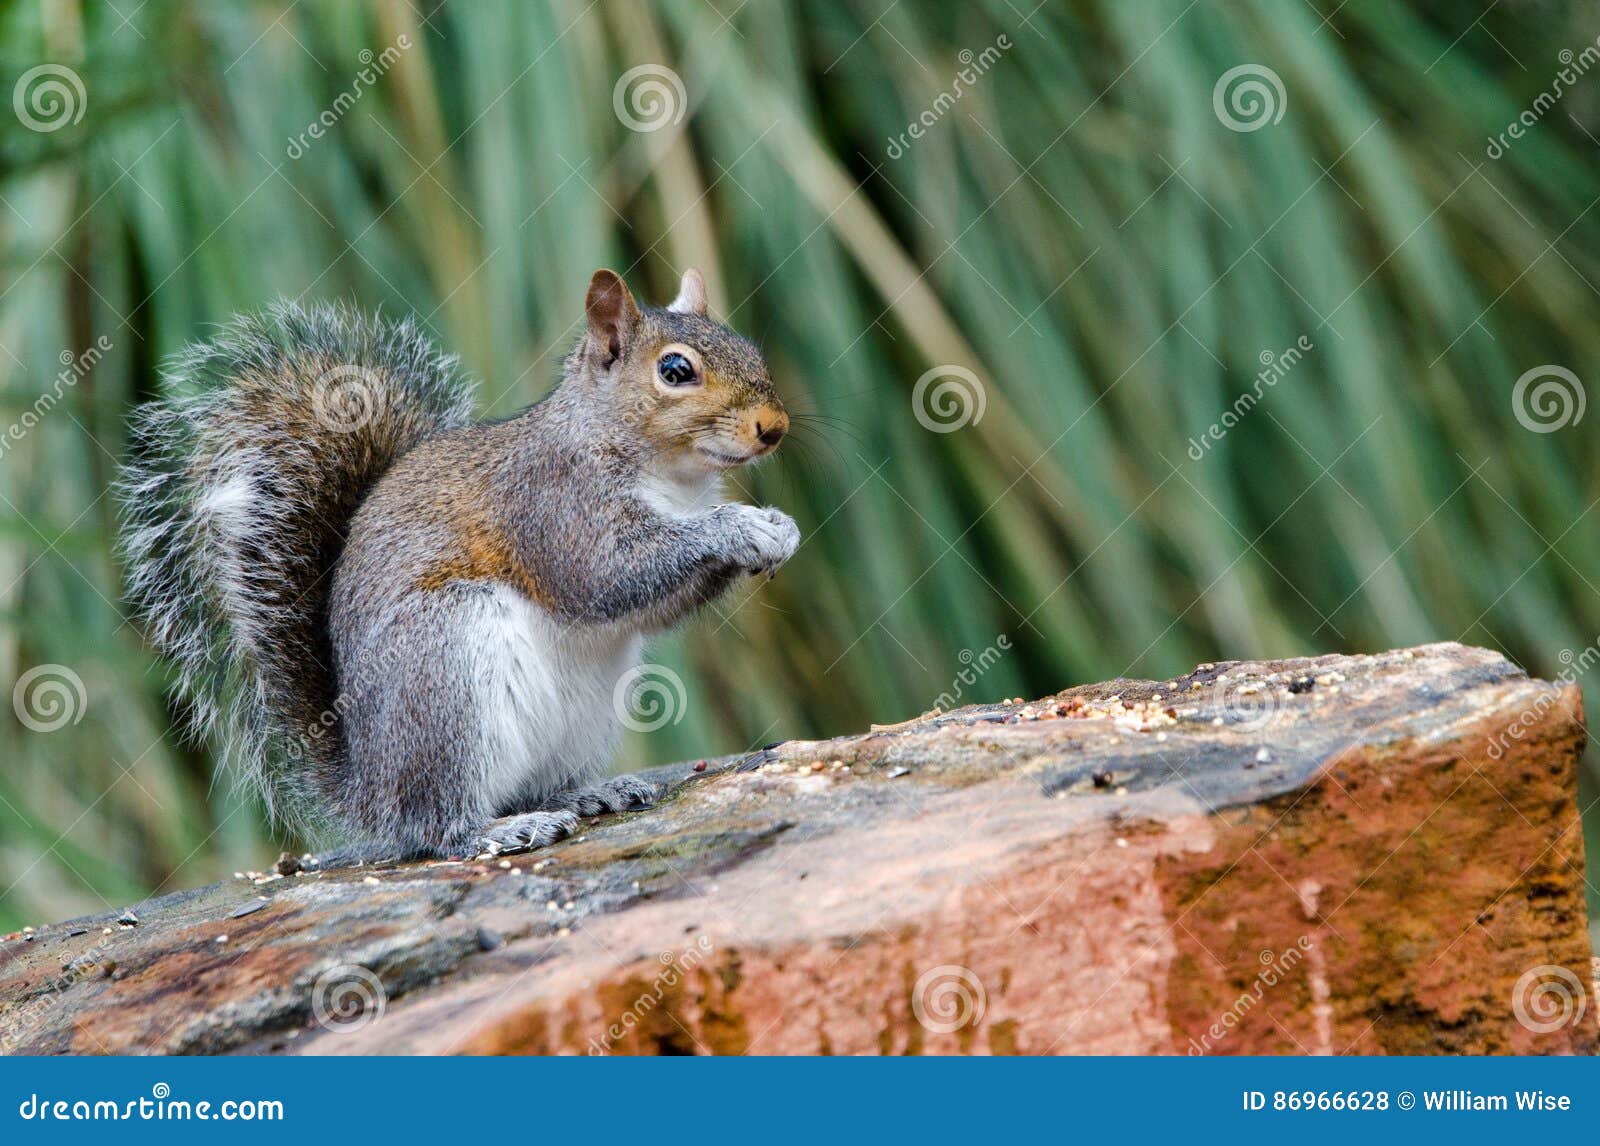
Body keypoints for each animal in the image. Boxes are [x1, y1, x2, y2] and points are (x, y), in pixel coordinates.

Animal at [120, 268, 800, 857]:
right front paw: (738, 526)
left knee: (532, 785)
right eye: (675, 370)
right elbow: (605, 577)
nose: (775, 427)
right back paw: (494, 831)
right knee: (434, 823)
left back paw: (588, 793)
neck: (672, 478)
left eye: (750, 348)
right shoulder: (554, 507)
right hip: (445, 669)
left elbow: (656, 606)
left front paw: (780, 529)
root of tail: (369, 791)